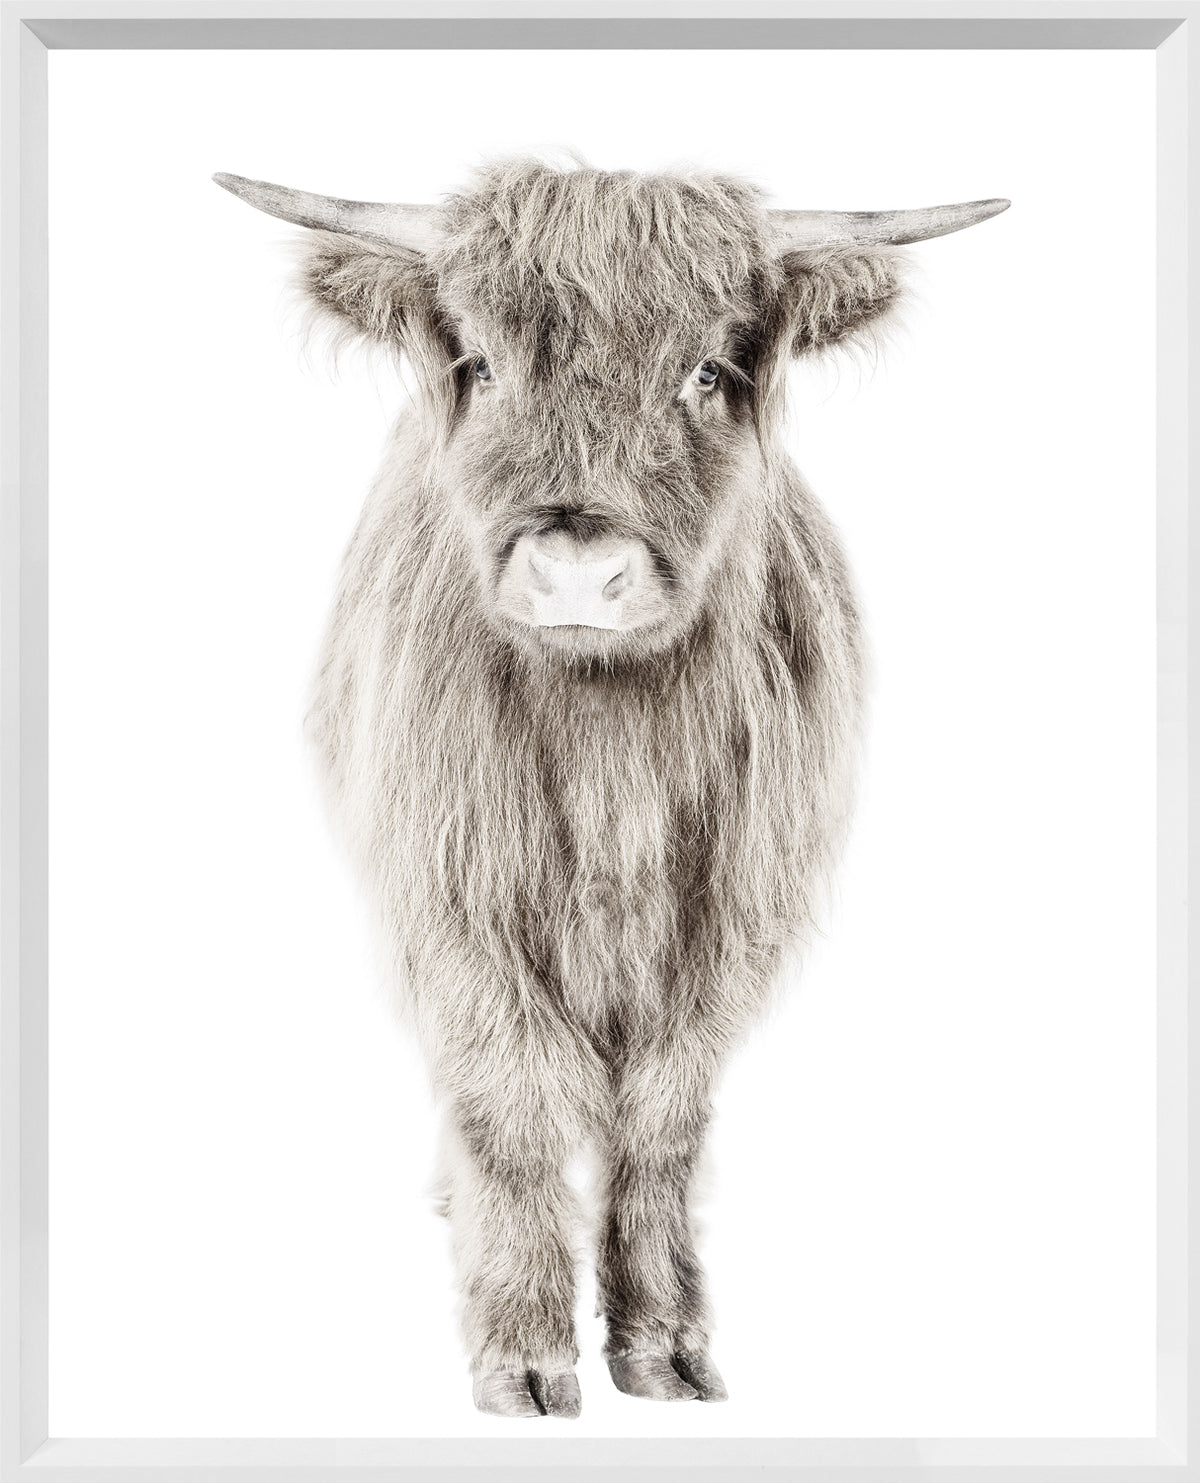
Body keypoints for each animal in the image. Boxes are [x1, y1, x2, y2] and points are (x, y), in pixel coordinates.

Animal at [215, 159, 1007, 1418]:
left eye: (708, 372)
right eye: (482, 363)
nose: (578, 570)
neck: (608, 750)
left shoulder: (730, 919)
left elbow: (663, 1124)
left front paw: (665, 1345)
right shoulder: (454, 903)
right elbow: (509, 1105)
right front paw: (523, 1353)